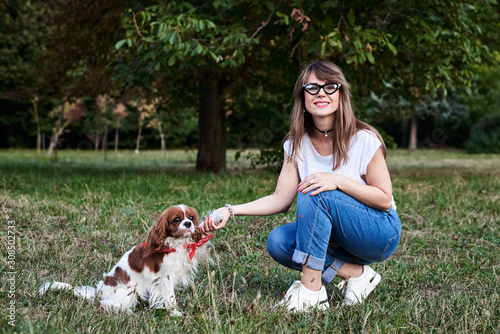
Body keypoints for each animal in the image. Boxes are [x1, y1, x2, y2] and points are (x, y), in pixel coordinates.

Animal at [37, 204, 213, 316]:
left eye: (191, 217)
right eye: (176, 220)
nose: (188, 223)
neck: (174, 244)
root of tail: (99, 291)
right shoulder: (165, 277)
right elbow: (170, 297)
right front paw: (174, 312)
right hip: (130, 291)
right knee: (105, 305)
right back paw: (127, 312)